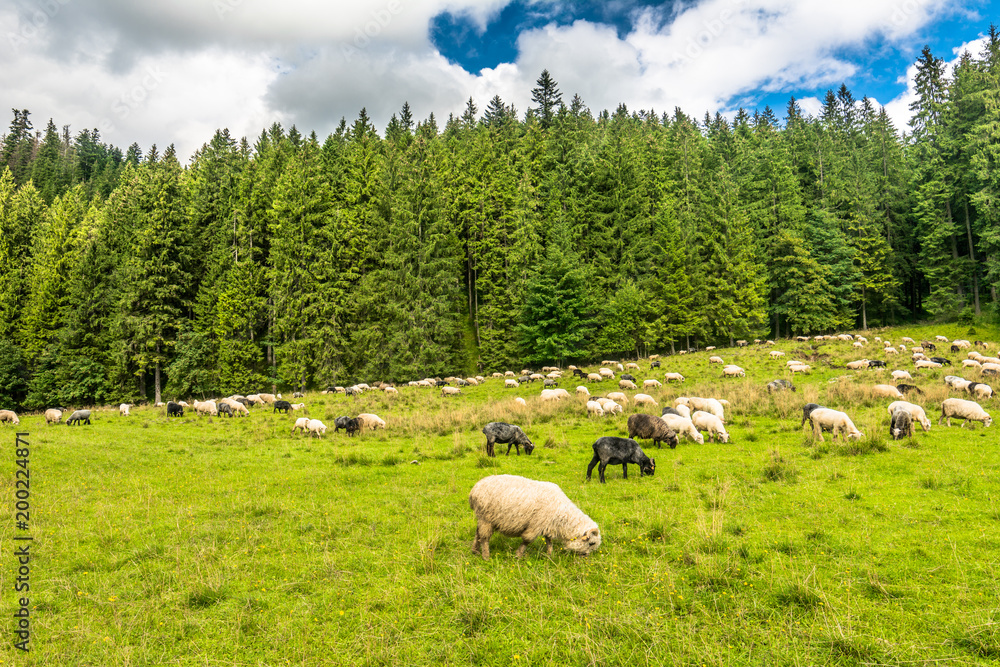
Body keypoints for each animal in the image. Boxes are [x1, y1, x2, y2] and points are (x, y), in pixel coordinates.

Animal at [469, 475, 601, 560]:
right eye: (591, 543)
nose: (585, 557)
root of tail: (474, 489)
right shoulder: (536, 525)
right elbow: (527, 540)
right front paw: (518, 555)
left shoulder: (548, 525)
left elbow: (549, 541)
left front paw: (549, 555)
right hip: (486, 518)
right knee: (484, 538)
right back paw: (486, 556)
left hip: (482, 517)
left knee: (478, 534)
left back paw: (475, 550)